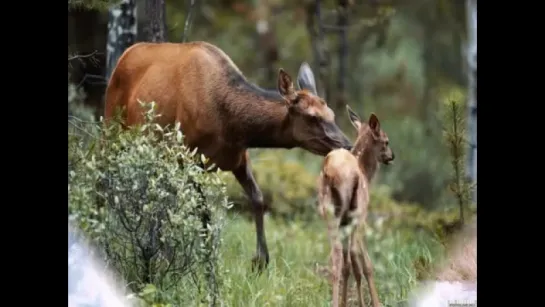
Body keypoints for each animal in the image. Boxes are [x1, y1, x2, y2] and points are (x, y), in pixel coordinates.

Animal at [103, 41, 350, 272]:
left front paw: (260, 260)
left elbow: (258, 198)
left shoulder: (238, 158)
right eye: (312, 117)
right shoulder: (188, 157)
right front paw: (207, 260)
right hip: (113, 130)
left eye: (332, 113)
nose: (346, 144)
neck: (233, 126)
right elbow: (203, 211)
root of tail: (122, 58)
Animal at [316, 106, 394, 307]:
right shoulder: (362, 216)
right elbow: (364, 263)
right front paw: (375, 302)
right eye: (386, 140)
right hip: (356, 213)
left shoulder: (345, 222)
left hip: (330, 212)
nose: (391, 156)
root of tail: (332, 172)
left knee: (336, 255)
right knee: (353, 253)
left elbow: (347, 265)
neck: (365, 171)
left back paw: (335, 302)